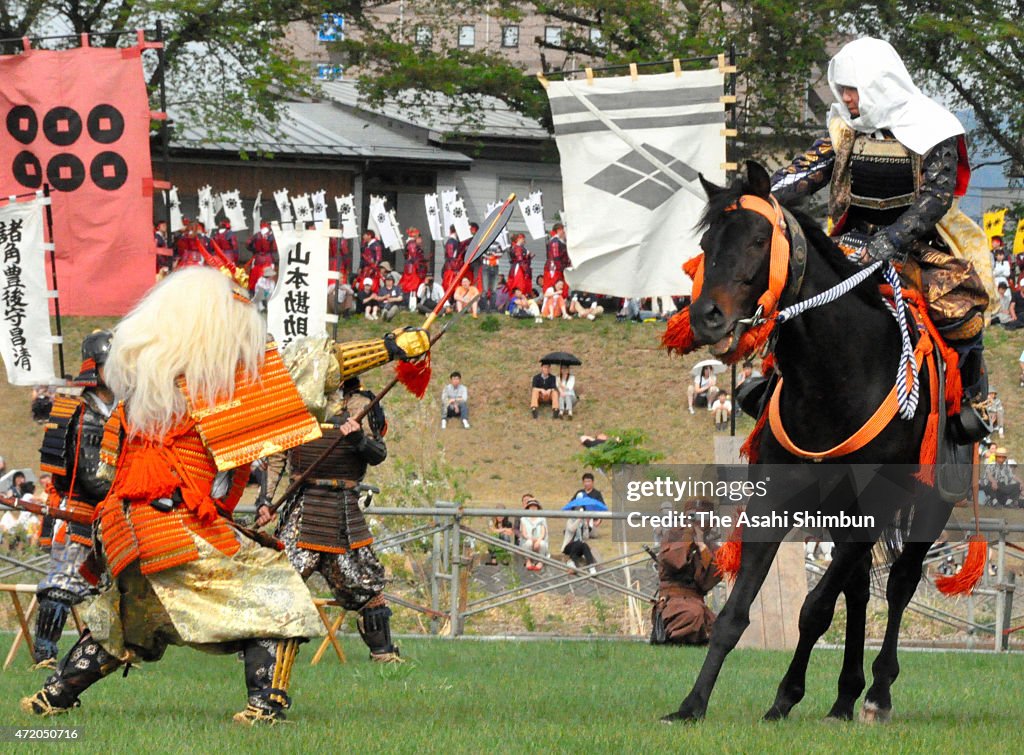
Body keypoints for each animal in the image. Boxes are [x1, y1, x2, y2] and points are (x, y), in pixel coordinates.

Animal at [663, 160, 958, 725]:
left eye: (759, 239)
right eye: (707, 242)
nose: (707, 317)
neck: (836, 373)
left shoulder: (876, 503)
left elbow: (814, 607)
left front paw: (785, 695)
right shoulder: (775, 501)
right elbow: (735, 614)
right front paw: (691, 705)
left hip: (931, 503)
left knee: (900, 582)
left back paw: (876, 695)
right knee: (861, 589)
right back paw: (844, 697)